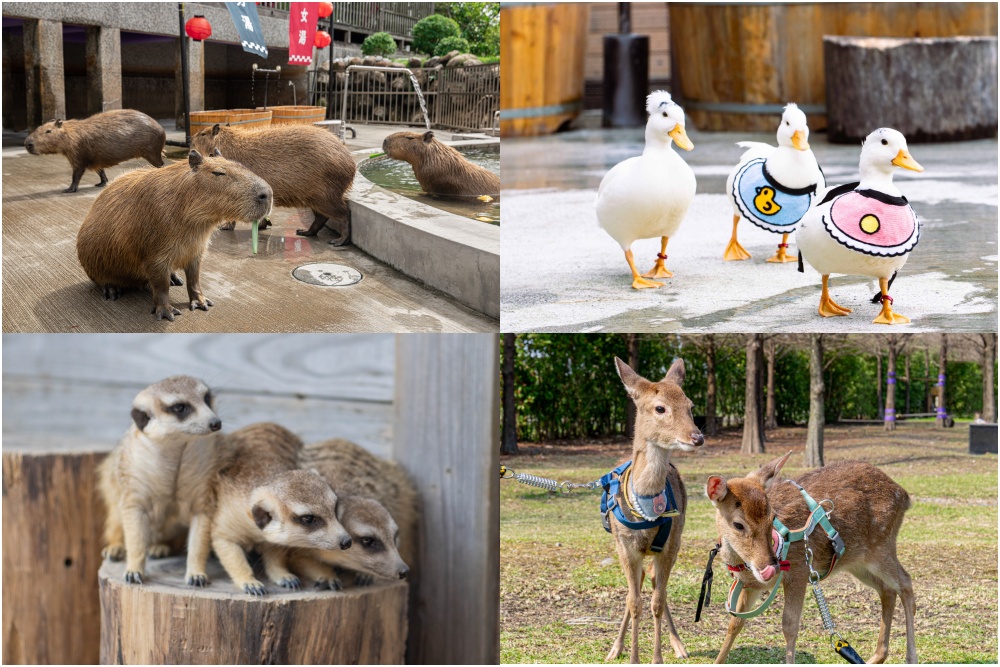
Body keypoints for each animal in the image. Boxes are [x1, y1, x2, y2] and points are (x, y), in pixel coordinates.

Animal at [600, 354, 704, 664]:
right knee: (639, 584)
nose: (697, 437)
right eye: (660, 408)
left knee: (658, 584)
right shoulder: (625, 545)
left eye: (690, 405)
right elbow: (634, 602)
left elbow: (657, 601)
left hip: (675, 541)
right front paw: (632, 657)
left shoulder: (669, 545)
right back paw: (615, 648)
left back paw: (679, 646)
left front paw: (658, 658)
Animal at [704, 452, 916, 664]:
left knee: (906, 583)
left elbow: (789, 625)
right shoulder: (750, 585)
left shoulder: (799, 570)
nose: (770, 566)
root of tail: (905, 496)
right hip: (857, 563)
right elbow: (735, 623)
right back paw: (875, 657)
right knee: (887, 590)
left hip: (881, 547)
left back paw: (910, 658)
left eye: (772, 517)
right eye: (738, 524)